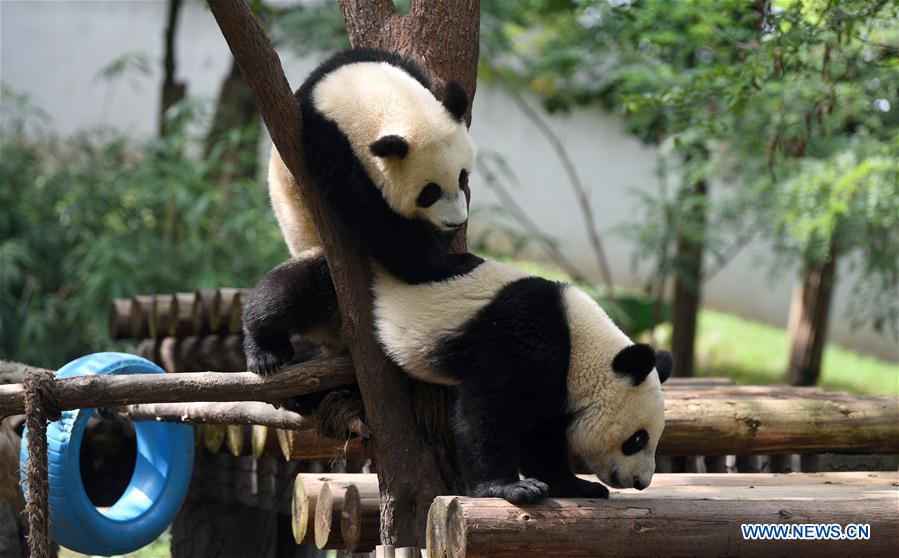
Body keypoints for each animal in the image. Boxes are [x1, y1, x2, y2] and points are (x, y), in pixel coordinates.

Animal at [243, 50, 672, 506]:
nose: (641, 481)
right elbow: (488, 411)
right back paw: (268, 354)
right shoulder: (527, 338)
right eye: (637, 439)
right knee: (288, 294)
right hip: (338, 284)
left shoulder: (557, 383)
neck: (580, 340)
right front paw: (509, 486)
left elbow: (542, 435)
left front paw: (574, 484)